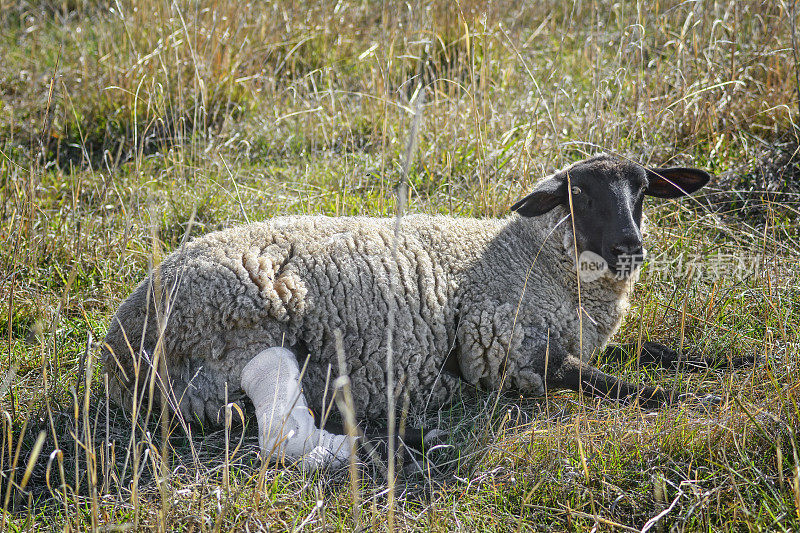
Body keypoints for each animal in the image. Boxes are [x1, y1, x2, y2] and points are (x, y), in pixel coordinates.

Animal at [101, 154, 712, 470]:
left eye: (642, 191)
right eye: (580, 195)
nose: (630, 247)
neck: (527, 259)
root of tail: (117, 350)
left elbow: (648, 350)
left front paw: (717, 362)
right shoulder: (507, 350)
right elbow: (602, 380)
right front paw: (673, 398)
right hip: (251, 339)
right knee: (283, 438)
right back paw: (387, 445)